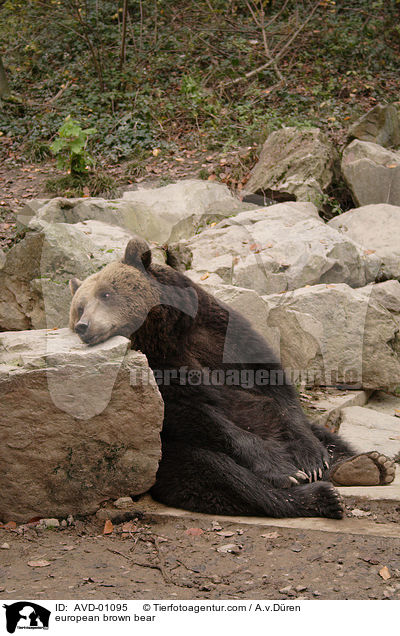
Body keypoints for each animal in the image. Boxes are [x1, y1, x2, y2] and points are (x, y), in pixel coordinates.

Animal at [68, 236, 394, 520]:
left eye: (106, 294)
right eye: (79, 307)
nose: (83, 325)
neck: (162, 329)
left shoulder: (218, 330)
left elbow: (273, 385)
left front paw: (313, 459)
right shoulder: (158, 371)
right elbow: (194, 412)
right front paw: (284, 468)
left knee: (325, 436)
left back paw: (368, 464)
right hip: (168, 455)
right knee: (225, 477)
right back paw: (315, 493)